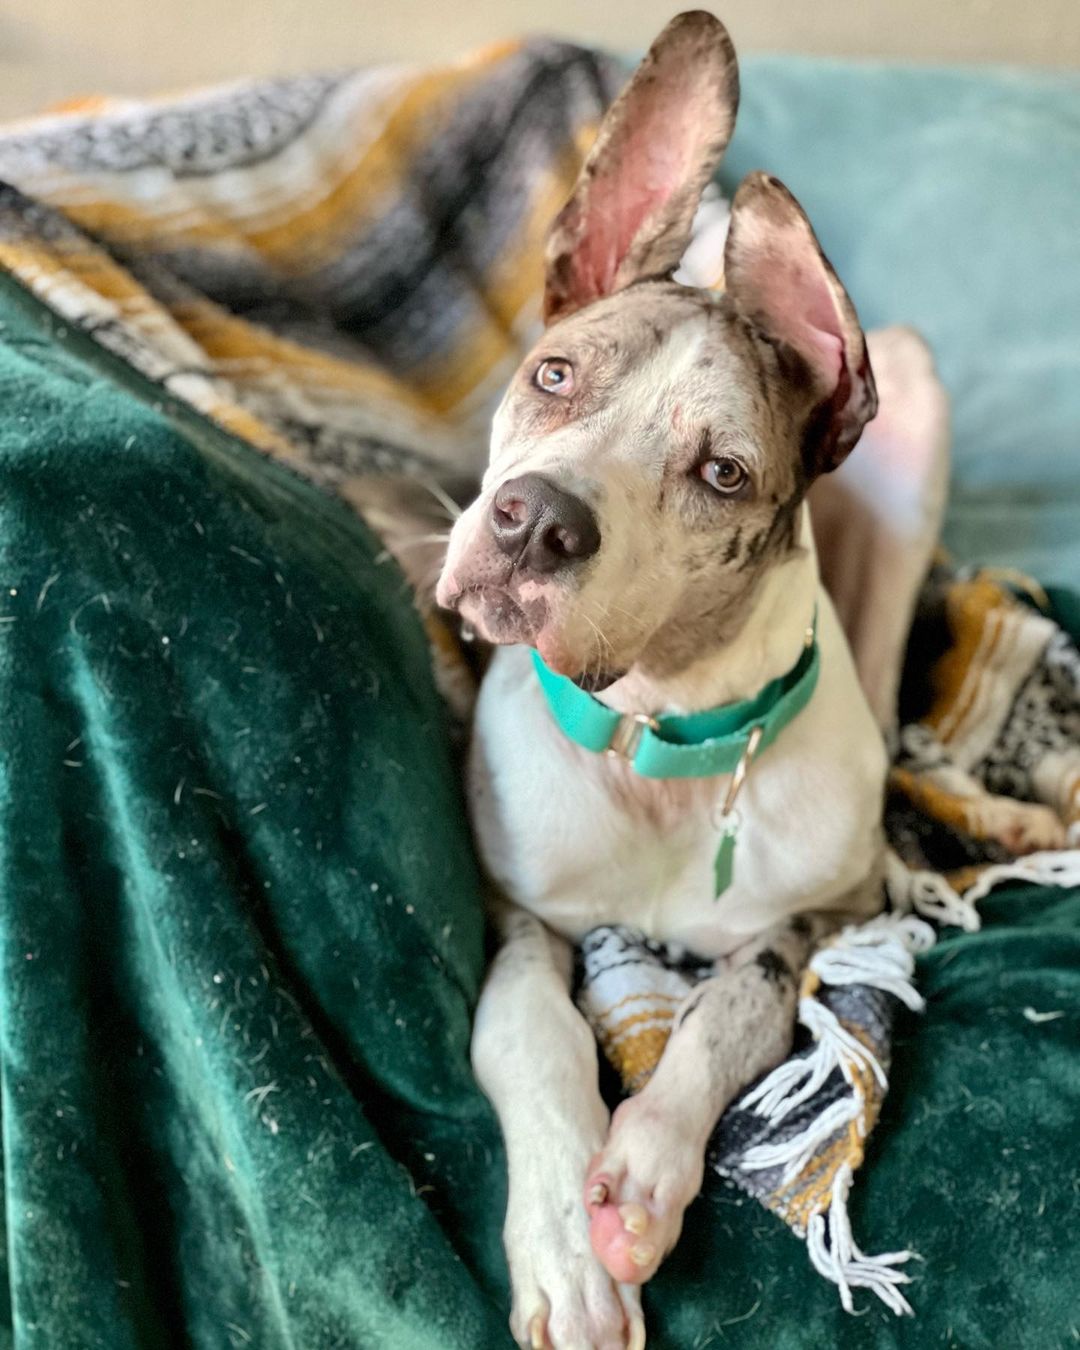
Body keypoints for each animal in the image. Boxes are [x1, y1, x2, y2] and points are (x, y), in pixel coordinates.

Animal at [434, 13, 896, 1350]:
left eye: (724, 473)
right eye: (554, 376)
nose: (535, 523)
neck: (664, 746)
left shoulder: (838, 910)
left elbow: (735, 1005)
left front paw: (641, 1175)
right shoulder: (518, 913)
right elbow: (526, 1033)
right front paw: (566, 1256)